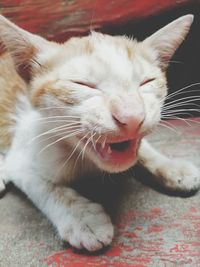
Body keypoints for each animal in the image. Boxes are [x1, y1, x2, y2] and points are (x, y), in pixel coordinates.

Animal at [0, 14, 200, 253]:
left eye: (146, 82)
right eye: (83, 84)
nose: (132, 117)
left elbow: (141, 149)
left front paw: (170, 166)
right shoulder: (23, 153)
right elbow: (46, 186)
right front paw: (82, 218)